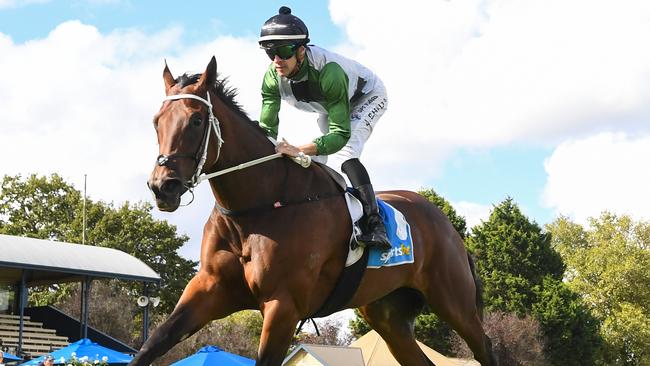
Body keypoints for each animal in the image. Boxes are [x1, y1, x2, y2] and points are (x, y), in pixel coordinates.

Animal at [134, 57, 494, 366]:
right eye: (156, 122)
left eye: (196, 120)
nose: (162, 186)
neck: (258, 207)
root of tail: (446, 224)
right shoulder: (208, 289)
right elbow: (151, 346)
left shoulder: (283, 305)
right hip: (388, 315)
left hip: (453, 301)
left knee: (485, 346)